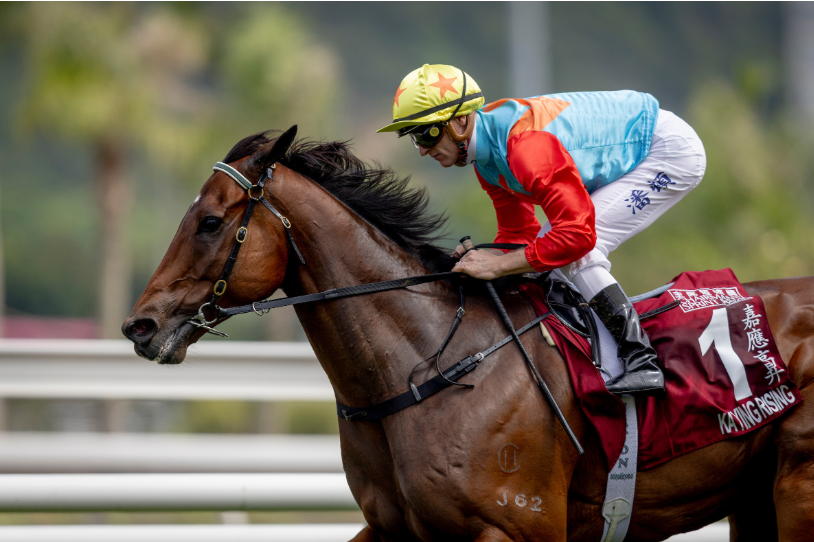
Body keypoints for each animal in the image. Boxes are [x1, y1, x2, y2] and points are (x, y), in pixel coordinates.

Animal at [123, 127, 814, 542]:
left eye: (210, 222)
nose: (139, 325)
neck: (429, 364)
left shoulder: (520, 528)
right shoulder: (392, 528)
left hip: (796, 488)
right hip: (754, 498)